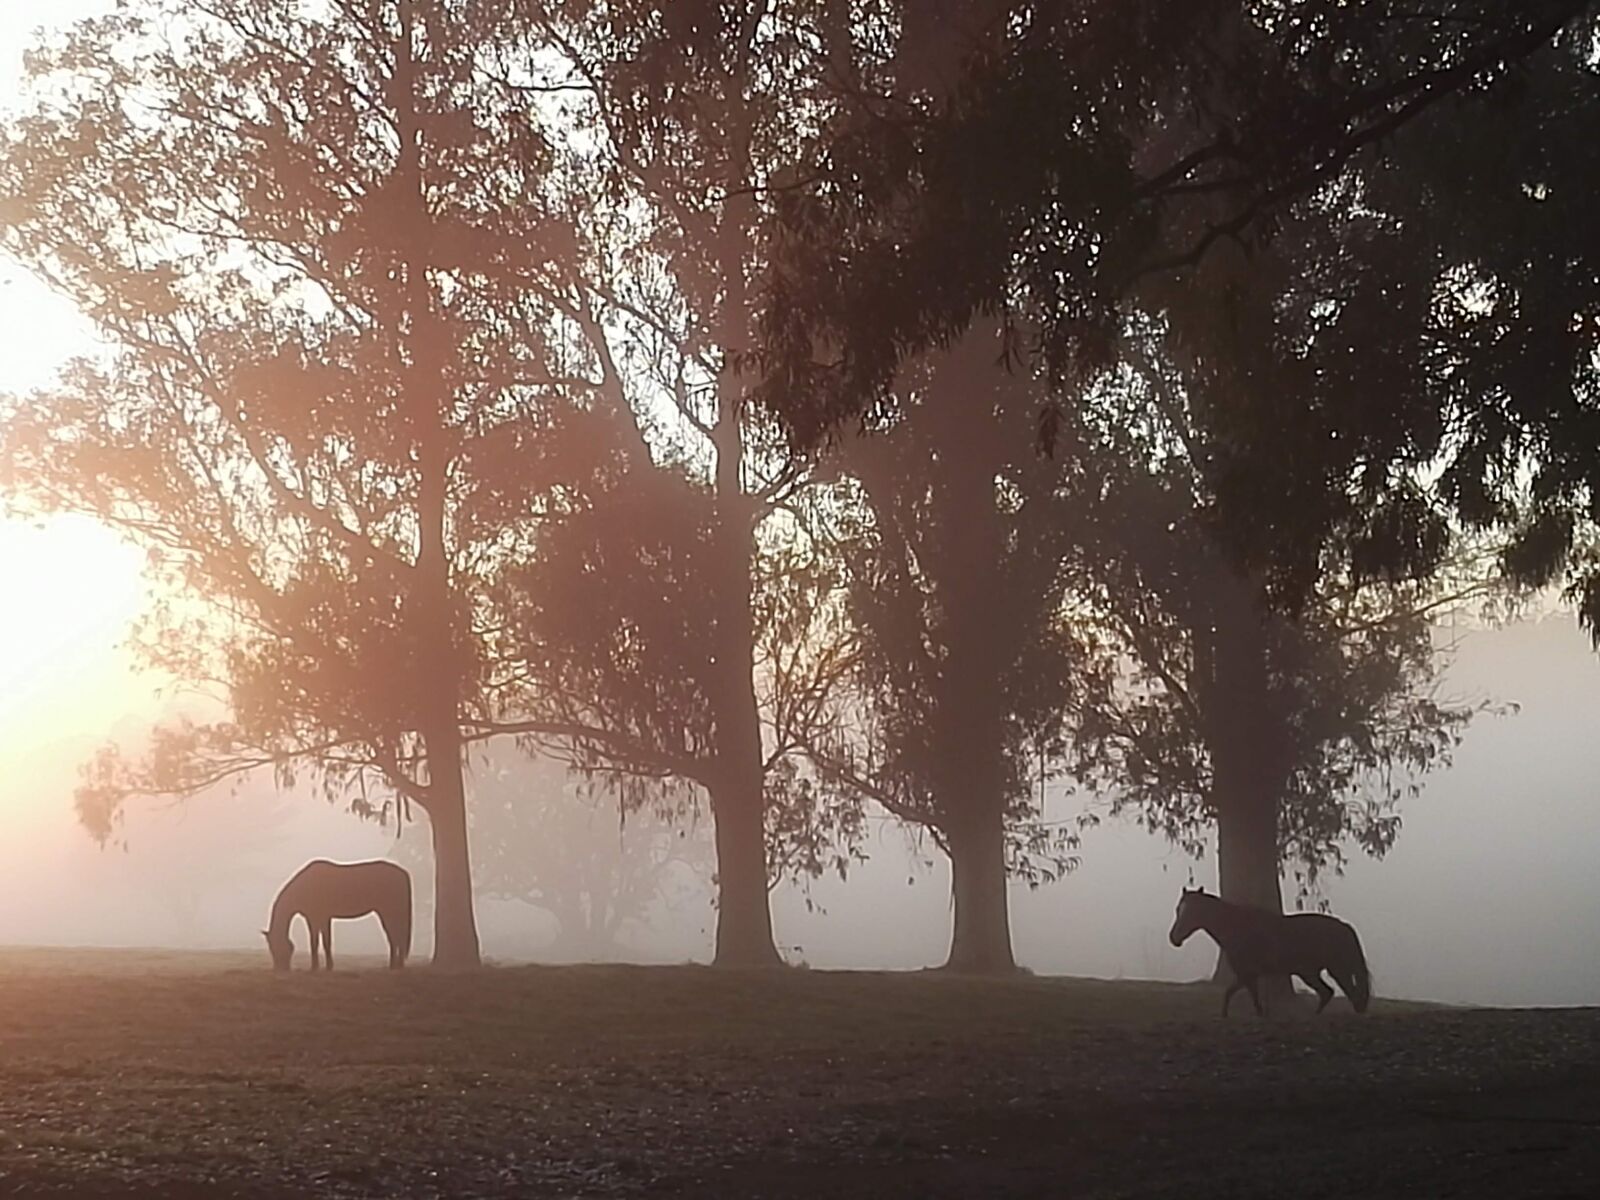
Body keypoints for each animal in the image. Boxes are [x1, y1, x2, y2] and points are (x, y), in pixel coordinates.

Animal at [262, 857, 412, 972]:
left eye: (275, 946)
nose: (280, 969)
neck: (306, 886)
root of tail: (403, 872)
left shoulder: (315, 918)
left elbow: (316, 942)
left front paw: (316, 967)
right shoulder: (322, 918)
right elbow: (325, 941)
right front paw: (326, 966)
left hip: (389, 912)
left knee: (395, 936)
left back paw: (394, 966)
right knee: (396, 936)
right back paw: (397, 965)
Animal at [1164, 889, 1376, 1017]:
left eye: (1191, 912)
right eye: (1178, 909)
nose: (1174, 938)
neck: (1237, 926)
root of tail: (1344, 926)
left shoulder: (1246, 973)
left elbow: (1233, 993)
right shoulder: (1249, 975)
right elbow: (1241, 994)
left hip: (1333, 971)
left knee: (1346, 995)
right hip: (1317, 972)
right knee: (1332, 993)